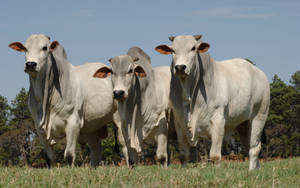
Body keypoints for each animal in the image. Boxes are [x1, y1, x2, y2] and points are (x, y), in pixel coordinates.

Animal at [8, 34, 118, 167]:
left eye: (45, 48)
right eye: (25, 48)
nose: (30, 64)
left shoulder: (73, 122)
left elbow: (69, 155)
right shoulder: (39, 128)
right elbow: (51, 157)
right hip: (91, 128)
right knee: (96, 151)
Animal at [156, 35, 270, 170]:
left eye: (193, 48)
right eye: (172, 50)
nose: (180, 67)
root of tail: (260, 73)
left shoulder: (218, 121)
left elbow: (215, 155)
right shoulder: (179, 123)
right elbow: (184, 154)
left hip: (259, 116)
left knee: (254, 148)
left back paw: (251, 170)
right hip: (244, 124)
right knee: (251, 146)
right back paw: (256, 169)